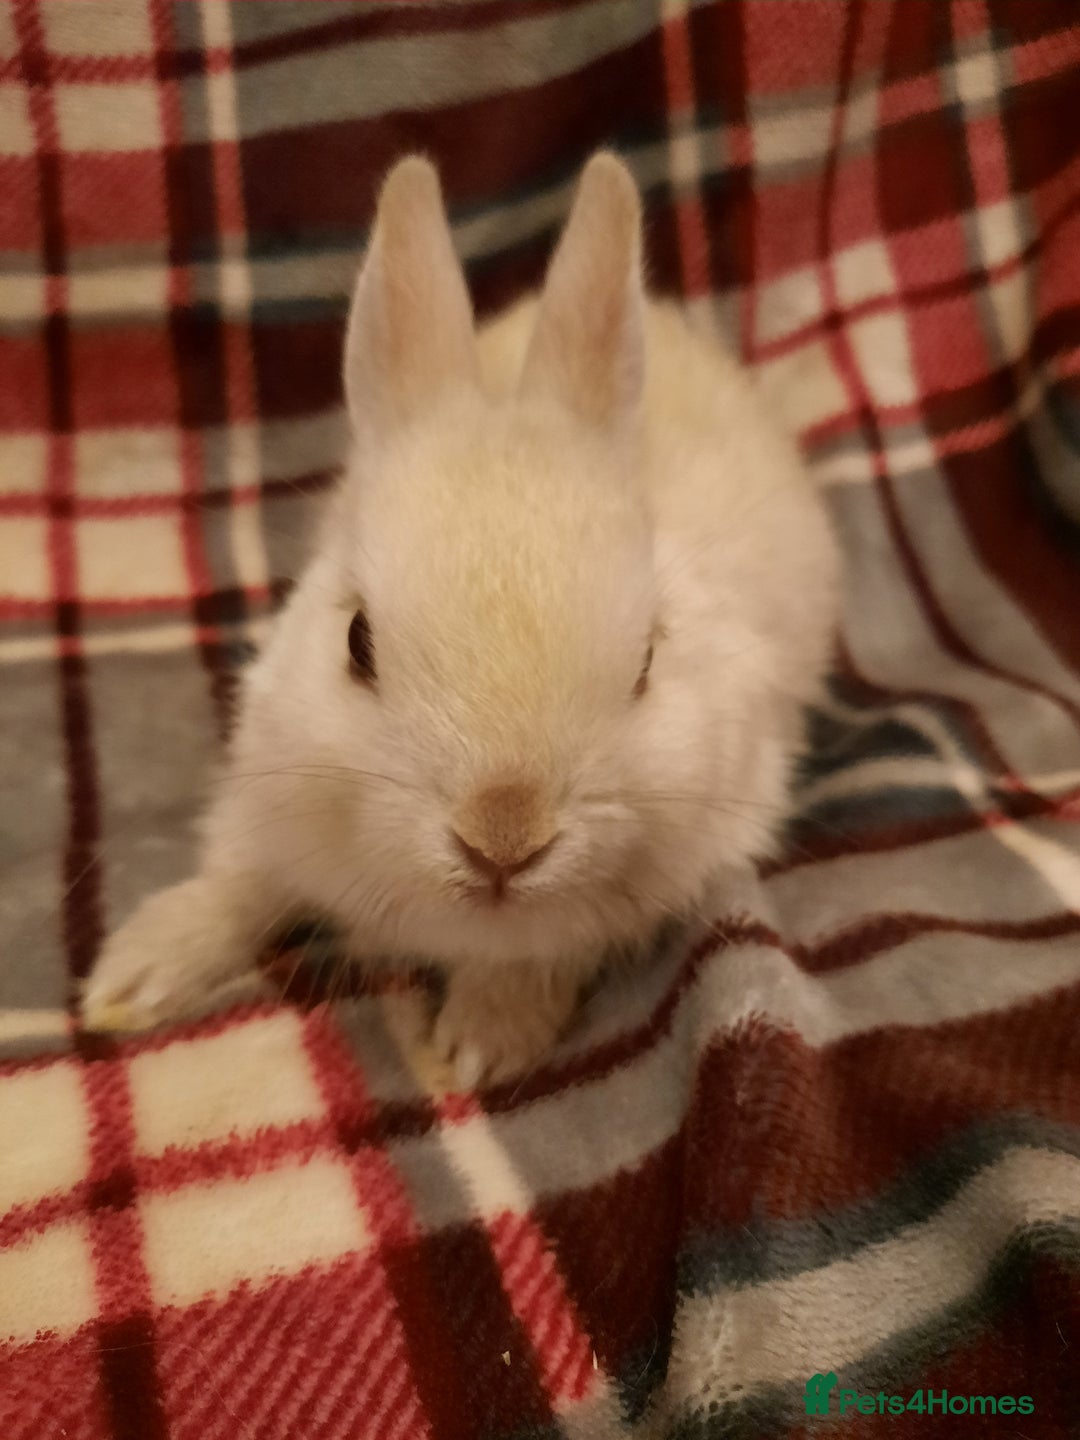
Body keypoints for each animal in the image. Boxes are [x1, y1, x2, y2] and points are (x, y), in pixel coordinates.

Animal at [82, 151, 839, 1087]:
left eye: (647, 663)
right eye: (357, 642)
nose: (503, 837)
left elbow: (534, 962)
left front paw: (482, 1047)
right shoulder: (265, 803)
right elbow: (238, 885)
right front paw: (133, 976)